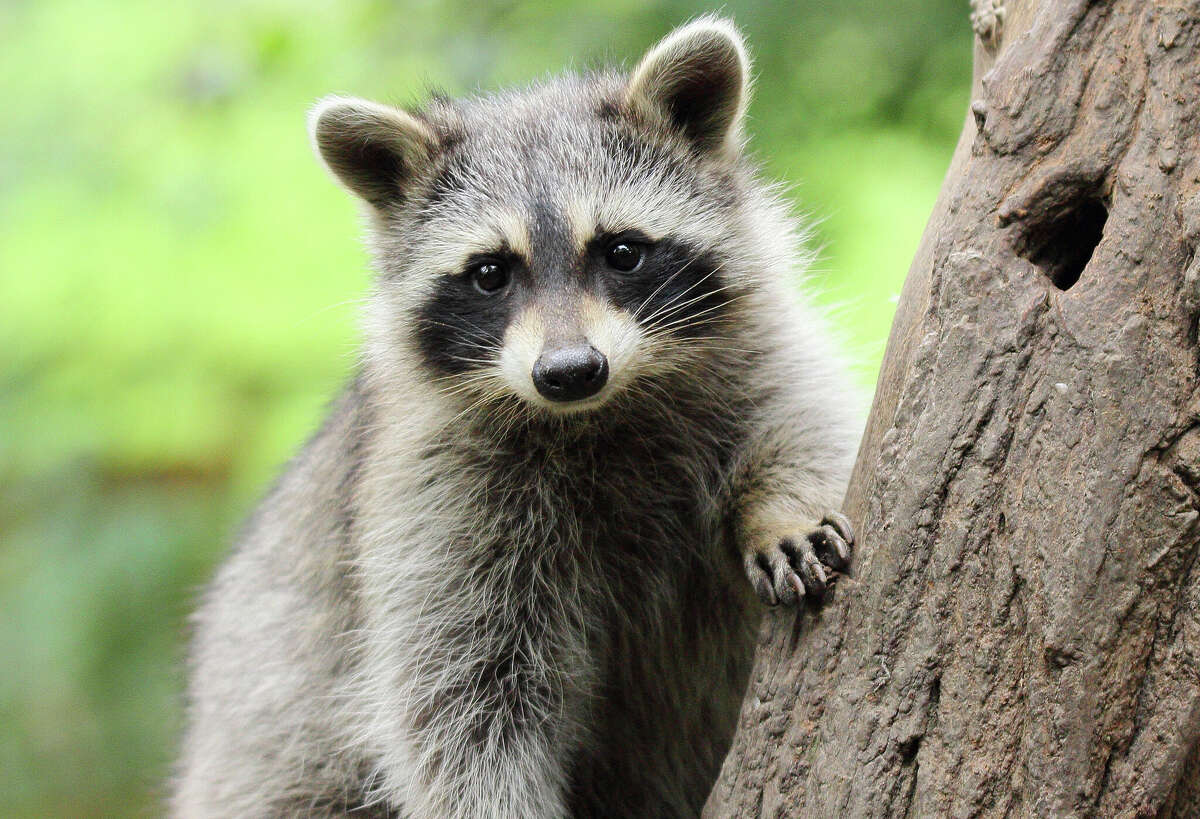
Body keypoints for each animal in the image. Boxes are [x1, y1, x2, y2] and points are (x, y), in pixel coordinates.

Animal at [174, 17, 862, 819]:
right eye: (490, 273)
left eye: (622, 251)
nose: (569, 371)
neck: (600, 413)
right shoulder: (437, 497)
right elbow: (463, 701)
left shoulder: (757, 351)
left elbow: (807, 420)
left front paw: (781, 507)